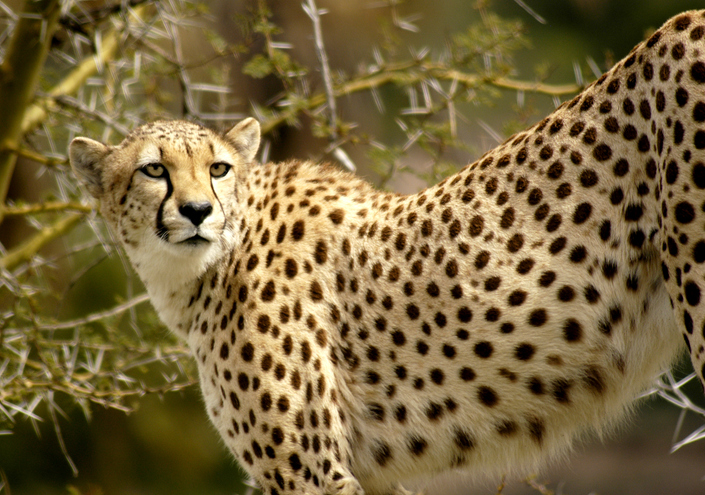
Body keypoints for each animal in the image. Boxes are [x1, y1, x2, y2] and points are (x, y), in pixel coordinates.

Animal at [69, 10, 705, 495]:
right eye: (154, 170)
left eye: (218, 169)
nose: (199, 211)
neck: (201, 270)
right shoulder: (364, 474)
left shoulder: (312, 473)